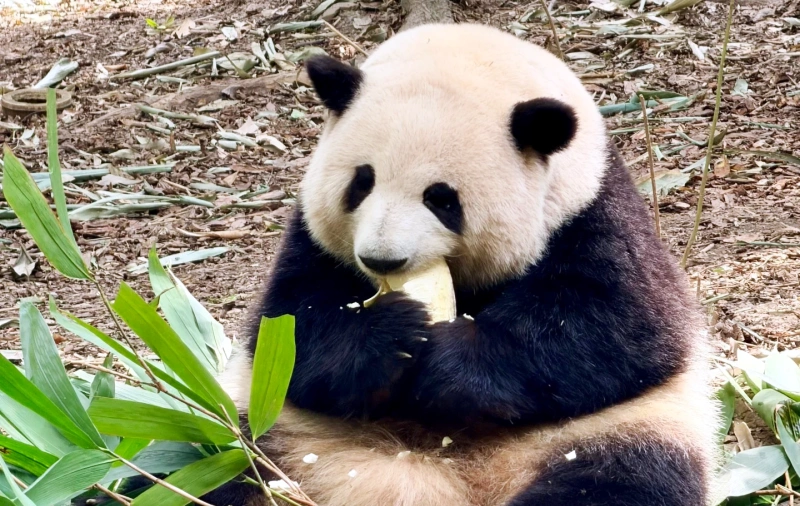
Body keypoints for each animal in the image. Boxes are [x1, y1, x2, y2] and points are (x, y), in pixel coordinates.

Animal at [212, 22, 720, 506]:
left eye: (441, 199)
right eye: (362, 183)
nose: (382, 259)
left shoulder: (593, 213)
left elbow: (620, 331)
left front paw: (446, 359)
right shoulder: (312, 242)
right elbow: (290, 329)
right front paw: (391, 334)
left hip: (617, 432)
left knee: (619, 480)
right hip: (273, 431)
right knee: (221, 466)